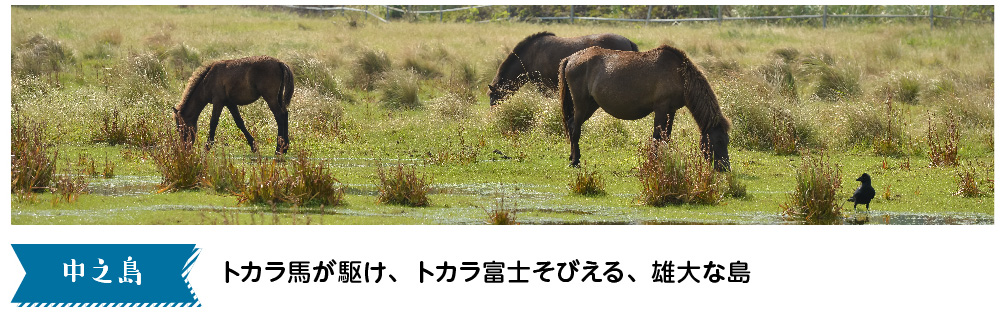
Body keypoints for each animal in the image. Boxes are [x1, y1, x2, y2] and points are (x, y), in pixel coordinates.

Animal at [558, 44, 731, 172]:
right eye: (719, 140)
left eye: (727, 141)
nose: (725, 168)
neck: (679, 74)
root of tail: (571, 58)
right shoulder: (661, 108)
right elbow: (657, 137)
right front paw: (655, 163)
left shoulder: (671, 110)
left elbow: (666, 137)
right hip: (581, 103)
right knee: (575, 129)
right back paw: (575, 161)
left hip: (591, 105)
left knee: (571, 124)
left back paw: (573, 157)